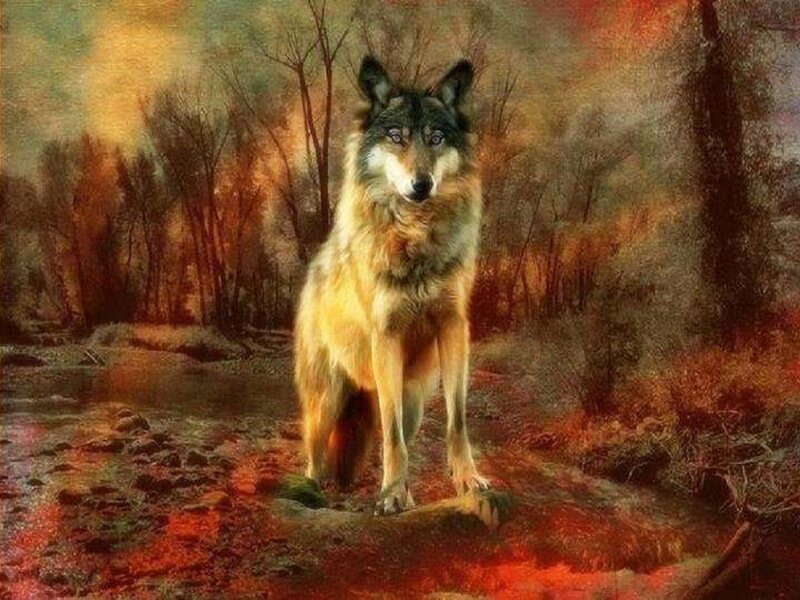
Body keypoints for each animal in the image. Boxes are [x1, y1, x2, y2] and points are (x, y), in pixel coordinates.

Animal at [294, 55, 488, 515]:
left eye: (435, 137)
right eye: (396, 137)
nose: (422, 184)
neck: (415, 238)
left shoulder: (454, 328)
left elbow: (456, 421)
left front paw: (467, 480)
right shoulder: (386, 337)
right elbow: (392, 434)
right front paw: (393, 494)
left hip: (413, 396)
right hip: (326, 401)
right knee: (315, 457)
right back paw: (311, 494)